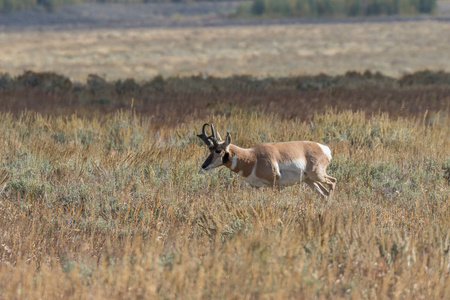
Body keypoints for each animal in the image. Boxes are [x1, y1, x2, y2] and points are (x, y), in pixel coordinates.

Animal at [199, 123, 336, 198]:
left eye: (218, 150)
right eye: (210, 149)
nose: (203, 165)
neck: (252, 157)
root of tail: (324, 148)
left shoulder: (275, 185)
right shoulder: (255, 187)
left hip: (317, 175)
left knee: (333, 182)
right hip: (309, 180)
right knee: (323, 194)